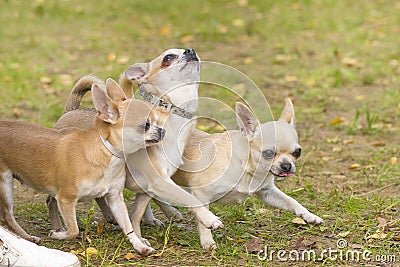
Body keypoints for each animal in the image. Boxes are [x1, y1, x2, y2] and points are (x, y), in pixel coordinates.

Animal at [0, 78, 164, 256]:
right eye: (146, 125)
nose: (162, 131)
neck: (106, 151)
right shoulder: (65, 199)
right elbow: (74, 230)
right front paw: (57, 235)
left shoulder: (115, 199)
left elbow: (128, 226)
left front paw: (140, 245)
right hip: (5, 183)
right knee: (8, 215)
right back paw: (30, 236)